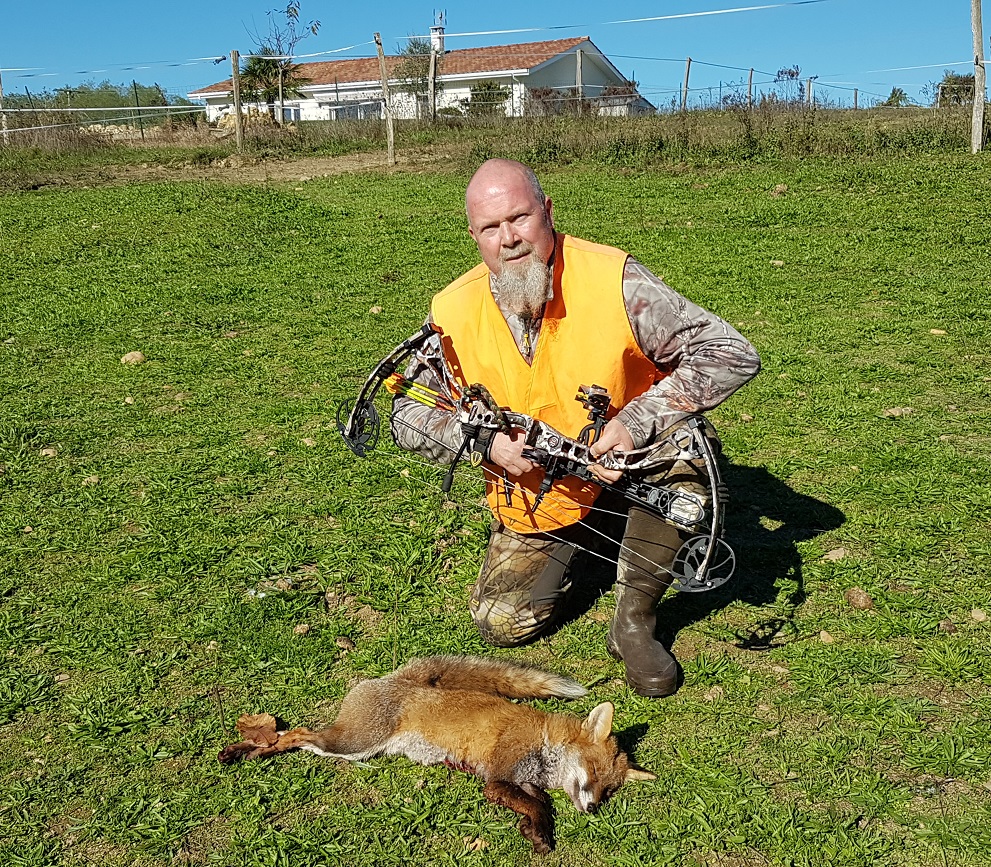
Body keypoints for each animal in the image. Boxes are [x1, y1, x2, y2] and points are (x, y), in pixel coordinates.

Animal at [217, 656, 656, 852]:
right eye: (594, 773)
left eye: (610, 791)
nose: (594, 808)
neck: (543, 740)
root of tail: (401, 679)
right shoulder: (497, 778)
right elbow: (537, 805)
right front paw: (541, 834)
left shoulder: (522, 781)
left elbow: (539, 804)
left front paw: (536, 831)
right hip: (349, 744)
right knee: (296, 733)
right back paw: (249, 744)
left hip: (351, 751)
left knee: (296, 737)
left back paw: (248, 749)